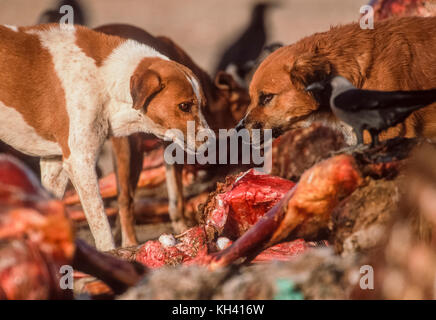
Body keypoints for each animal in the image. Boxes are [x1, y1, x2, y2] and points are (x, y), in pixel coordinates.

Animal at [0, 23, 209, 251]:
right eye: (184, 106)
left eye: (203, 104)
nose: (212, 140)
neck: (103, 77)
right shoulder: (80, 163)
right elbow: (102, 228)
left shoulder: (54, 164)